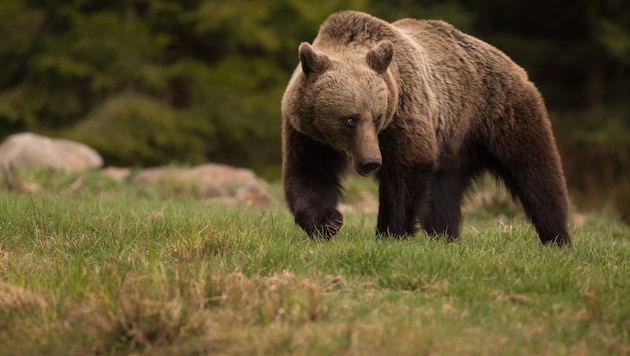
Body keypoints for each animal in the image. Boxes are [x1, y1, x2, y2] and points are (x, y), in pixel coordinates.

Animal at [282, 10, 572, 245]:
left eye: (377, 117)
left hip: (501, 111)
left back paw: (557, 238)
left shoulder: (404, 109)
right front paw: (327, 222)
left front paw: (390, 232)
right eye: (350, 119)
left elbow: (407, 166)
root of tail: (512, 62)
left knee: (536, 171)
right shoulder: (306, 131)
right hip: (455, 144)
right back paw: (445, 237)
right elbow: (309, 172)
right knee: (445, 193)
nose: (371, 161)